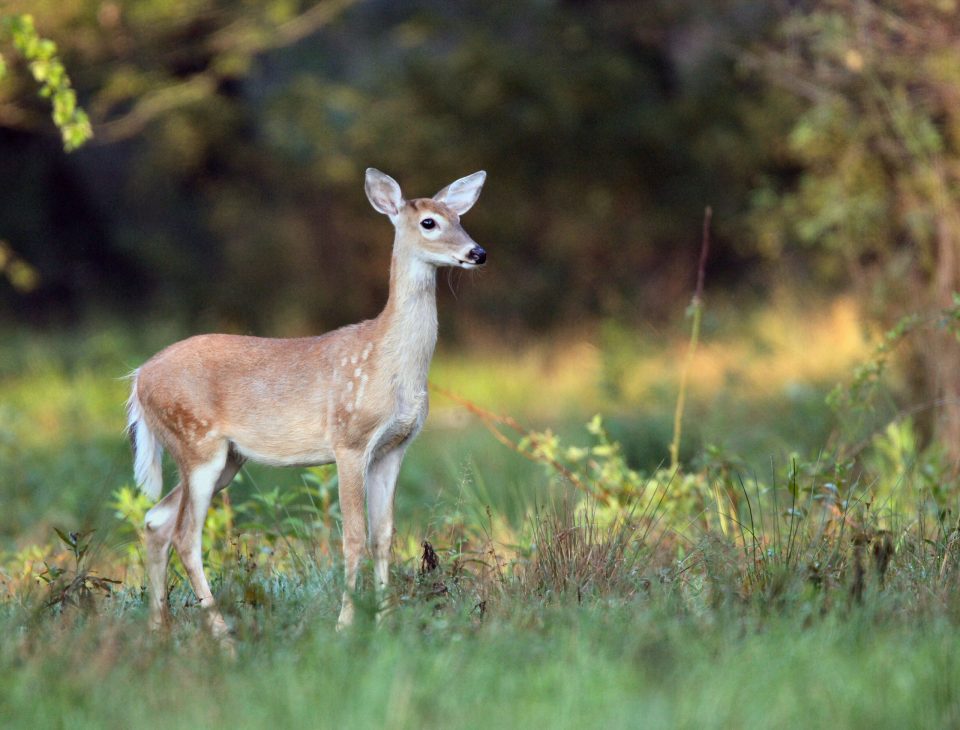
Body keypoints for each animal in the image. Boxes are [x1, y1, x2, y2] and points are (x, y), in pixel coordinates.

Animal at [125, 168, 488, 636]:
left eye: (459, 217)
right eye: (429, 222)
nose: (477, 252)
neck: (388, 359)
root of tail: (138, 379)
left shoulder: (394, 447)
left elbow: (383, 535)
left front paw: (386, 620)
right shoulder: (349, 440)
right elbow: (353, 536)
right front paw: (346, 624)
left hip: (225, 459)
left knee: (156, 520)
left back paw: (160, 629)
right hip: (195, 442)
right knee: (186, 535)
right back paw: (222, 634)